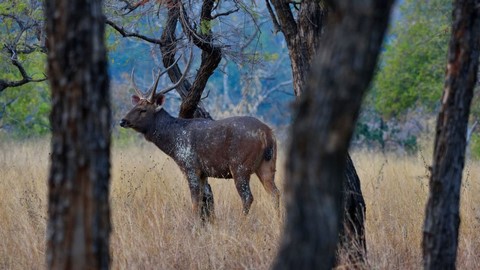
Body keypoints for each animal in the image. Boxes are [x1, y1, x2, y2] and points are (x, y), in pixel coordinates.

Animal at [117, 54, 280, 219]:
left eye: (143, 110)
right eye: (134, 106)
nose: (122, 121)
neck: (173, 143)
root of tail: (268, 134)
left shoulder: (190, 166)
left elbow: (195, 202)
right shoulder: (203, 173)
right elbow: (203, 199)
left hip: (240, 165)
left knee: (248, 197)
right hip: (267, 164)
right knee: (275, 193)